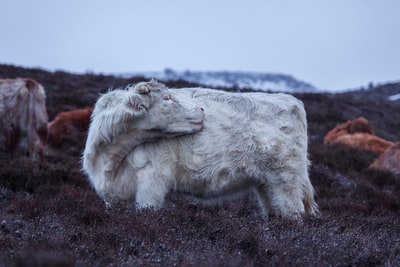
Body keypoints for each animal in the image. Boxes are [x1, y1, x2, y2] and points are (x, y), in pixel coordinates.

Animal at [82, 80, 318, 219]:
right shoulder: (112, 197)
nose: (201, 110)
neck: (110, 159)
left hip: (286, 180)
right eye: (166, 98)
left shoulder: (152, 182)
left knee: (294, 213)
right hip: (266, 184)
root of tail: (290, 99)